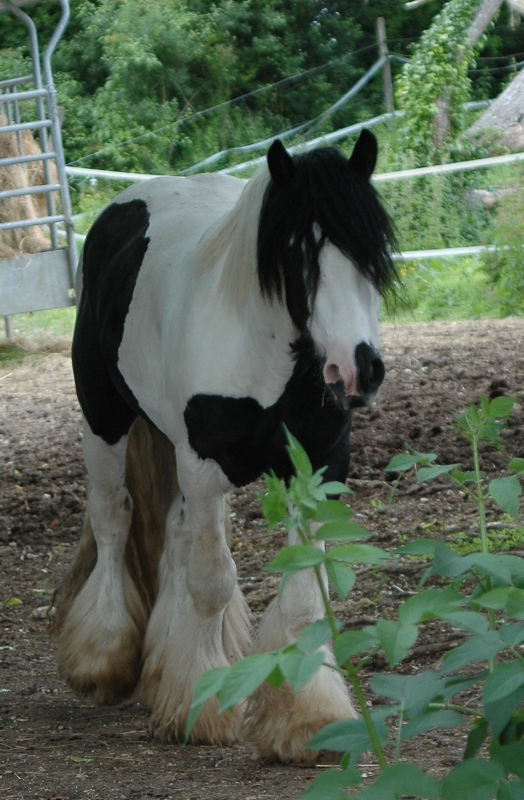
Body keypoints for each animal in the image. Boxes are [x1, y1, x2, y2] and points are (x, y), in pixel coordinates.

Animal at [54, 130, 398, 764]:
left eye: (372, 250)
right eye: (297, 250)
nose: (358, 369)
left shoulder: (318, 468)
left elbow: (302, 596)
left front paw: (305, 717)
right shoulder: (204, 465)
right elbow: (212, 581)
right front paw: (205, 703)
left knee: (176, 535)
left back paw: (162, 668)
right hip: (105, 421)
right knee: (114, 520)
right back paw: (103, 657)